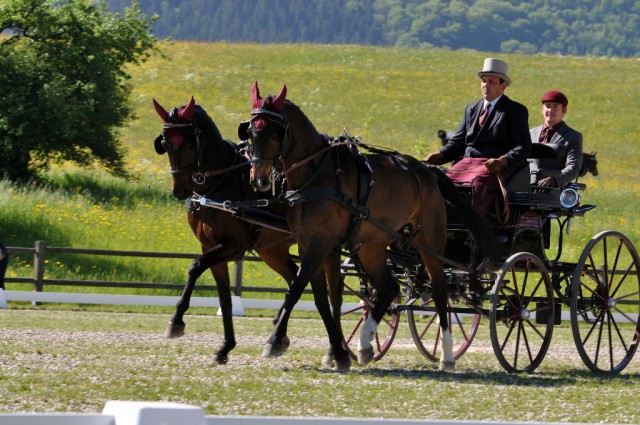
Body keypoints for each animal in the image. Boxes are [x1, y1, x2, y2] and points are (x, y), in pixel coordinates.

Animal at [152, 97, 342, 364]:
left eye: (189, 142)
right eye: (166, 143)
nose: (180, 190)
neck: (218, 184)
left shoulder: (234, 247)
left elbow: (194, 267)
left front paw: (176, 320)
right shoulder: (211, 248)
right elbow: (224, 298)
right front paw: (225, 347)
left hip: (327, 247)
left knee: (333, 294)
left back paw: (334, 349)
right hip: (273, 251)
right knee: (295, 279)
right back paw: (282, 333)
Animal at [238, 81, 498, 370]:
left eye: (275, 133)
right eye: (250, 132)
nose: (259, 181)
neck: (317, 175)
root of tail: (427, 170)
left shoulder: (320, 243)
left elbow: (296, 289)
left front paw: (274, 341)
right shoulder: (310, 244)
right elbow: (319, 295)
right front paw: (336, 351)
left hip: (429, 242)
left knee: (440, 291)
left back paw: (447, 354)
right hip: (372, 246)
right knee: (389, 288)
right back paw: (364, 343)